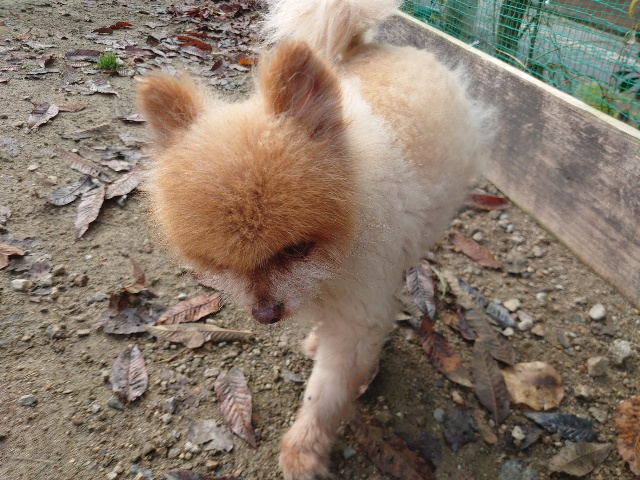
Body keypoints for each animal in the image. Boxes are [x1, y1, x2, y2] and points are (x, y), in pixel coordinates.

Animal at [137, 0, 490, 478]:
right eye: (221, 264)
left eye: (296, 249)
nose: (265, 313)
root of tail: (370, 47)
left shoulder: (357, 319)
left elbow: (324, 394)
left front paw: (303, 449)